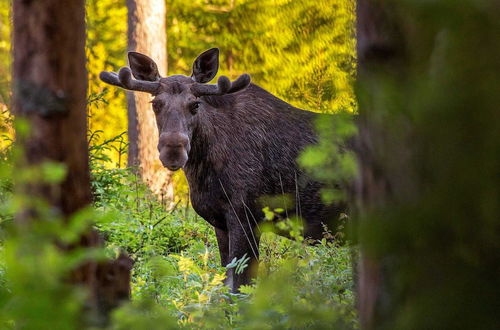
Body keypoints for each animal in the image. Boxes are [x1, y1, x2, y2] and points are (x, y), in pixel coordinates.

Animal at [99, 49, 346, 292]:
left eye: (195, 105)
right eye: (155, 103)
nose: (173, 151)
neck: (203, 172)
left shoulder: (246, 215)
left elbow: (238, 286)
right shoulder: (221, 222)